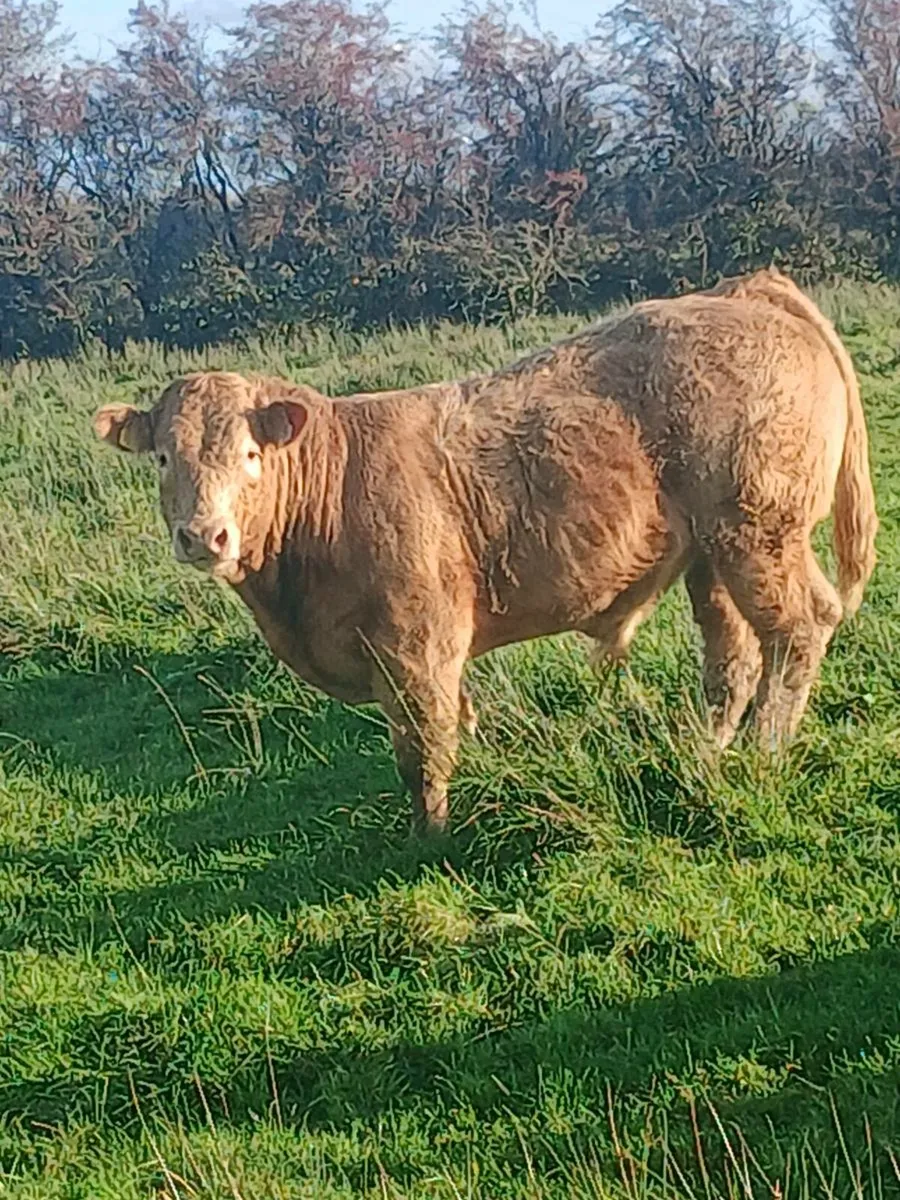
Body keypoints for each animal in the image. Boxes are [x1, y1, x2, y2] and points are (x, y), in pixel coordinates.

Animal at [93, 268, 878, 833]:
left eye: (251, 454)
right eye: (162, 458)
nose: (205, 535)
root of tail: (743, 290)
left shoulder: (417, 648)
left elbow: (424, 749)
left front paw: (429, 839)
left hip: (760, 533)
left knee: (800, 628)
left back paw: (764, 752)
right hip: (713, 556)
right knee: (733, 657)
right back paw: (705, 750)